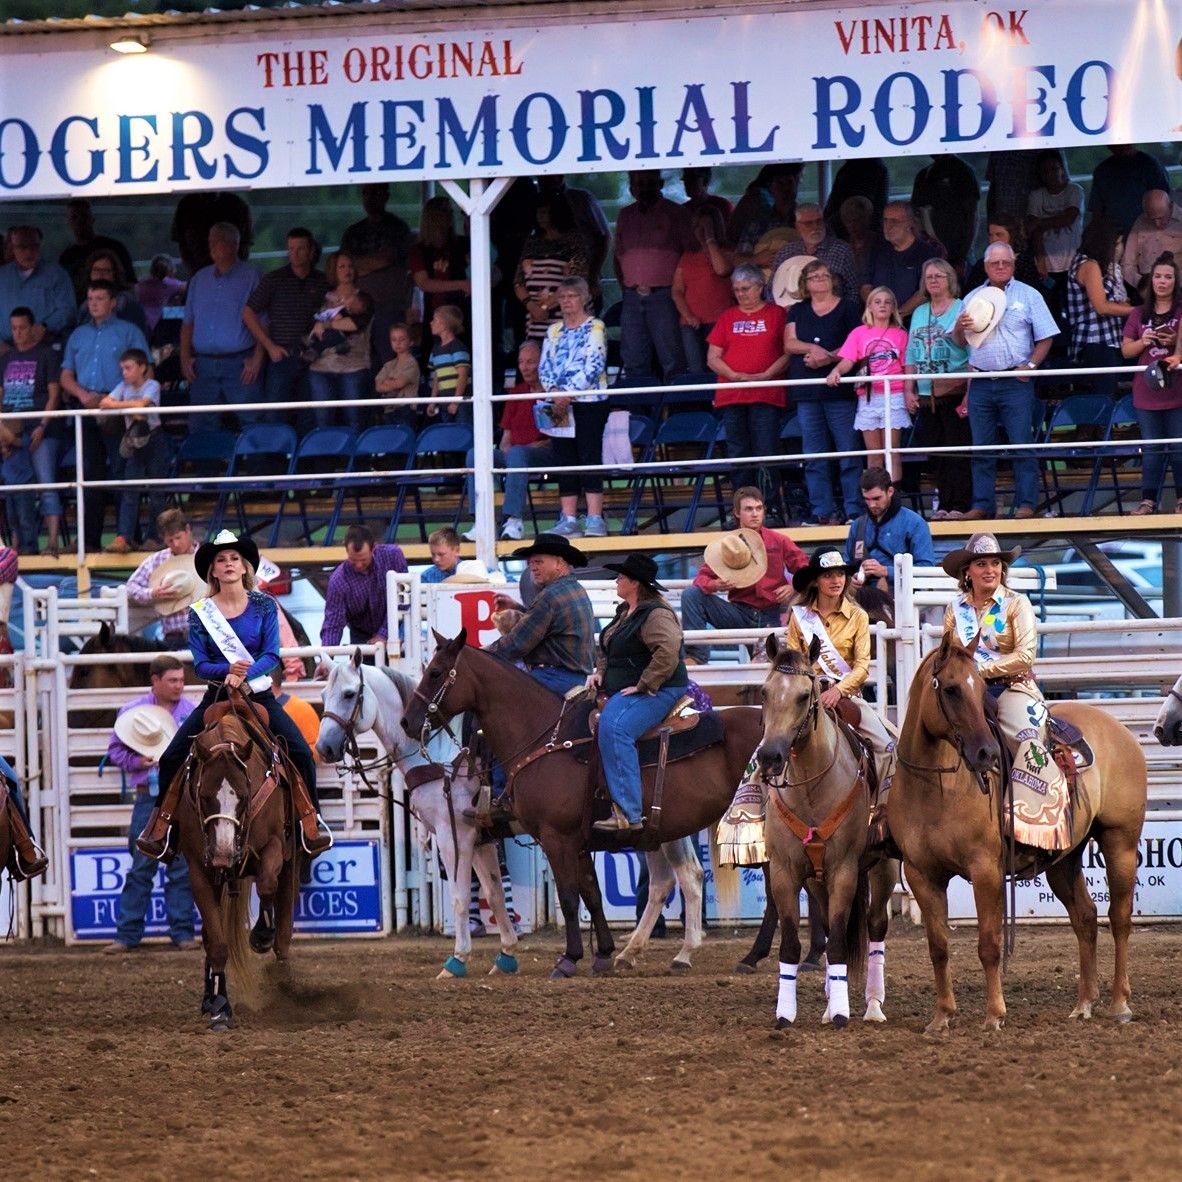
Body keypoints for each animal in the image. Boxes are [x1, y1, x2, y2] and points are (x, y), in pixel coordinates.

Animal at [176, 690, 307, 1030]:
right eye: (204, 795)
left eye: (245, 796)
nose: (223, 854)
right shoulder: (200, 870)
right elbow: (217, 942)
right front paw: (221, 1006)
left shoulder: (276, 847)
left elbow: (266, 883)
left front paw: (261, 934)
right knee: (210, 938)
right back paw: (209, 999)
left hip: (292, 864)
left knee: (283, 932)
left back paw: (285, 983)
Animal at [401, 628, 761, 978]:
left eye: (435, 672)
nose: (408, 722)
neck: (547, 739)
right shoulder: (577, 841)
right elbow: (591, 894)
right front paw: (602, 955)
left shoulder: (551, 838)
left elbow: (568, 896)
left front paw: (568, 959)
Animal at [747, 633, 893, 1030]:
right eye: (765, 692)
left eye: (803, 695)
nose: (770, 757)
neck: (812, 787)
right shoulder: (785, 872)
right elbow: (793, 945)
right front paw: (786, 1014)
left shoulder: (844, 870)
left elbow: (842, 941)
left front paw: (843, 1013)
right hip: (816, 881)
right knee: (827, 929)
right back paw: (829, 1004)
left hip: (883, 869)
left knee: (875, 926)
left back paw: (873, 1006)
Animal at [888, 633, 1148, 1030]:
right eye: (950, 689)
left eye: (982, 689)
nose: (987, 753)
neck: (936, 788)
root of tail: (1121, 732)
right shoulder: (922, 875)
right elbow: (938, 946)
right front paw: (941, 1016)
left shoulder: (985, 870)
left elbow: (989, 944)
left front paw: (994, 1014)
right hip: (1064, 860)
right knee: (1086, 919)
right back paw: (1084, 1004)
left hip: (1120, 840)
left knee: (1119, 918)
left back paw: (1120, 1003)